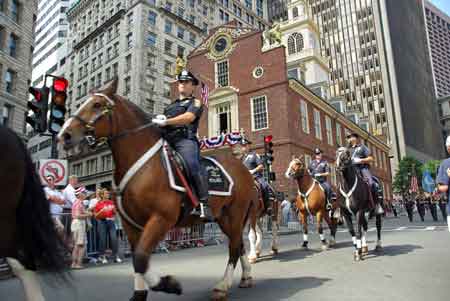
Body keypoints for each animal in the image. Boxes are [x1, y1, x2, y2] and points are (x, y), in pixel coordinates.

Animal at [58, 79, 258, 300]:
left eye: (97, 105)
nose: (64, 135)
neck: (143, 163)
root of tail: (243, 167)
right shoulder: (130, 224)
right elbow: (138, 259)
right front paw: (139, 294)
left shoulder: (161, 219)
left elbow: (141, 258)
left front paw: (169, 284)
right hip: (224, 217)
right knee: (238, 243)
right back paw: (246, 277)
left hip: (235, 213)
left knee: (234, 247)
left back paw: (223, 285)